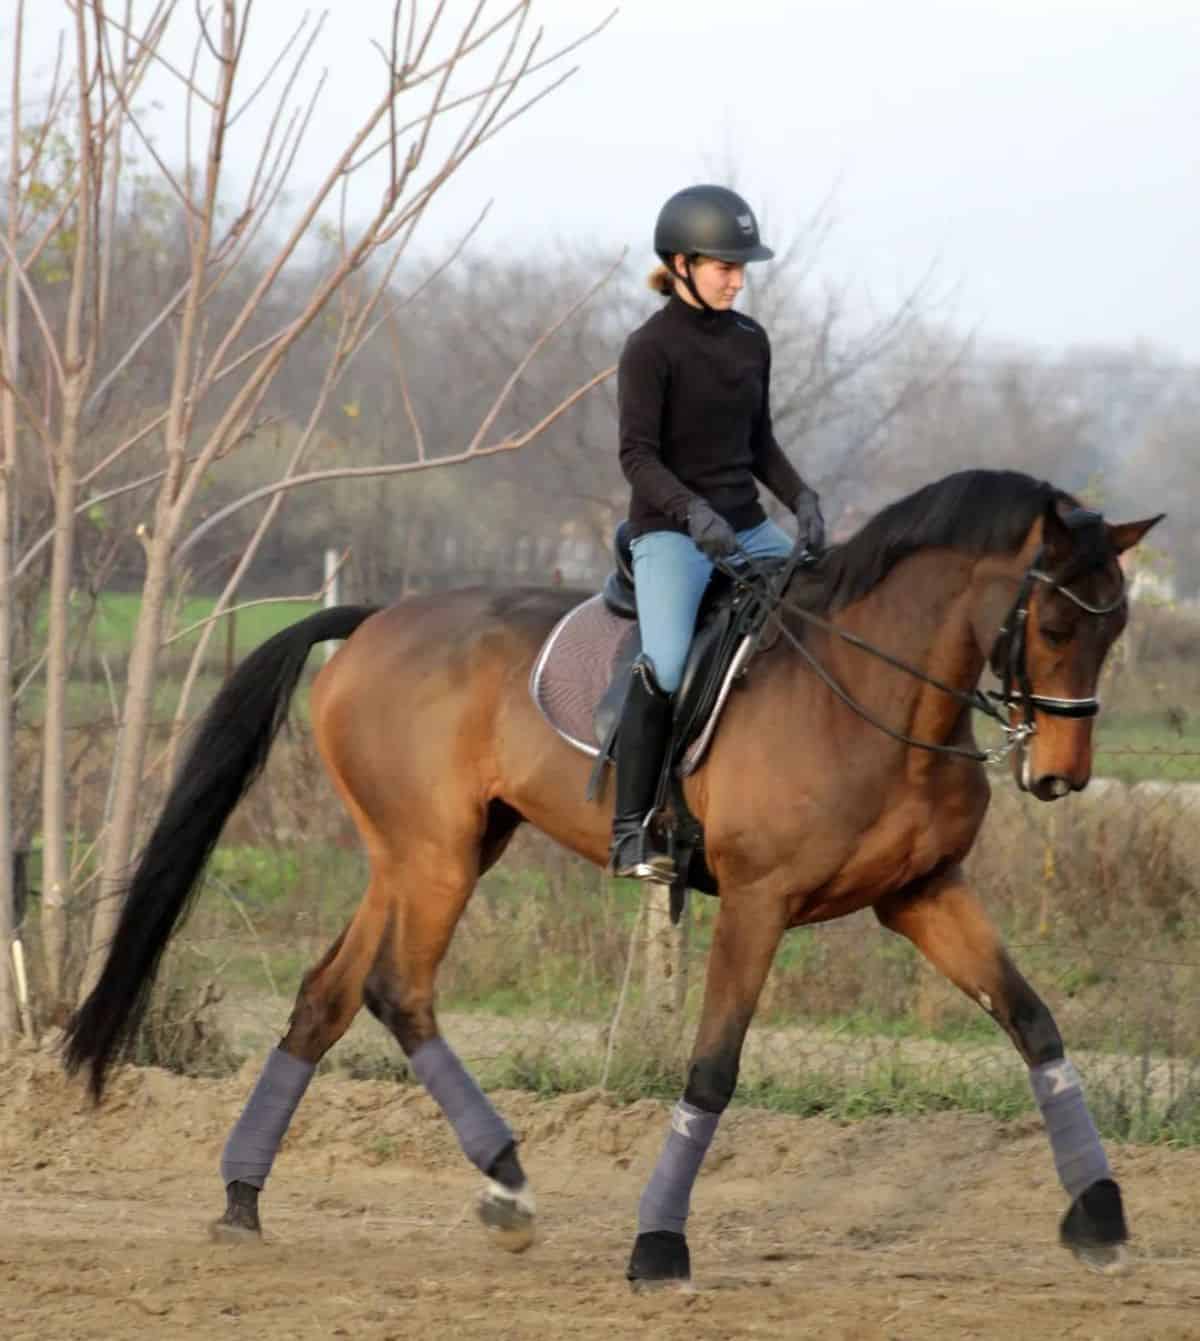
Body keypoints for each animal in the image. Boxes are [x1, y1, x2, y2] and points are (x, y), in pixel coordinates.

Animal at [63, 466, 1163, 1281]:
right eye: (1054, 626)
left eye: (1116, 630)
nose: (1061, 777)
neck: (872, 694)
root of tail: (374, 620)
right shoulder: (757, 903)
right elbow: (713, 1068)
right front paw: (659, 1246)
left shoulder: (923, 894)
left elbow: (1034, 1023)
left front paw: (1102, 1215)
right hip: (437, 856)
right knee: (398, 990)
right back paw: (507, 1182)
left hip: (422, 853)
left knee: (328, 995)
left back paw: (243, 1196)